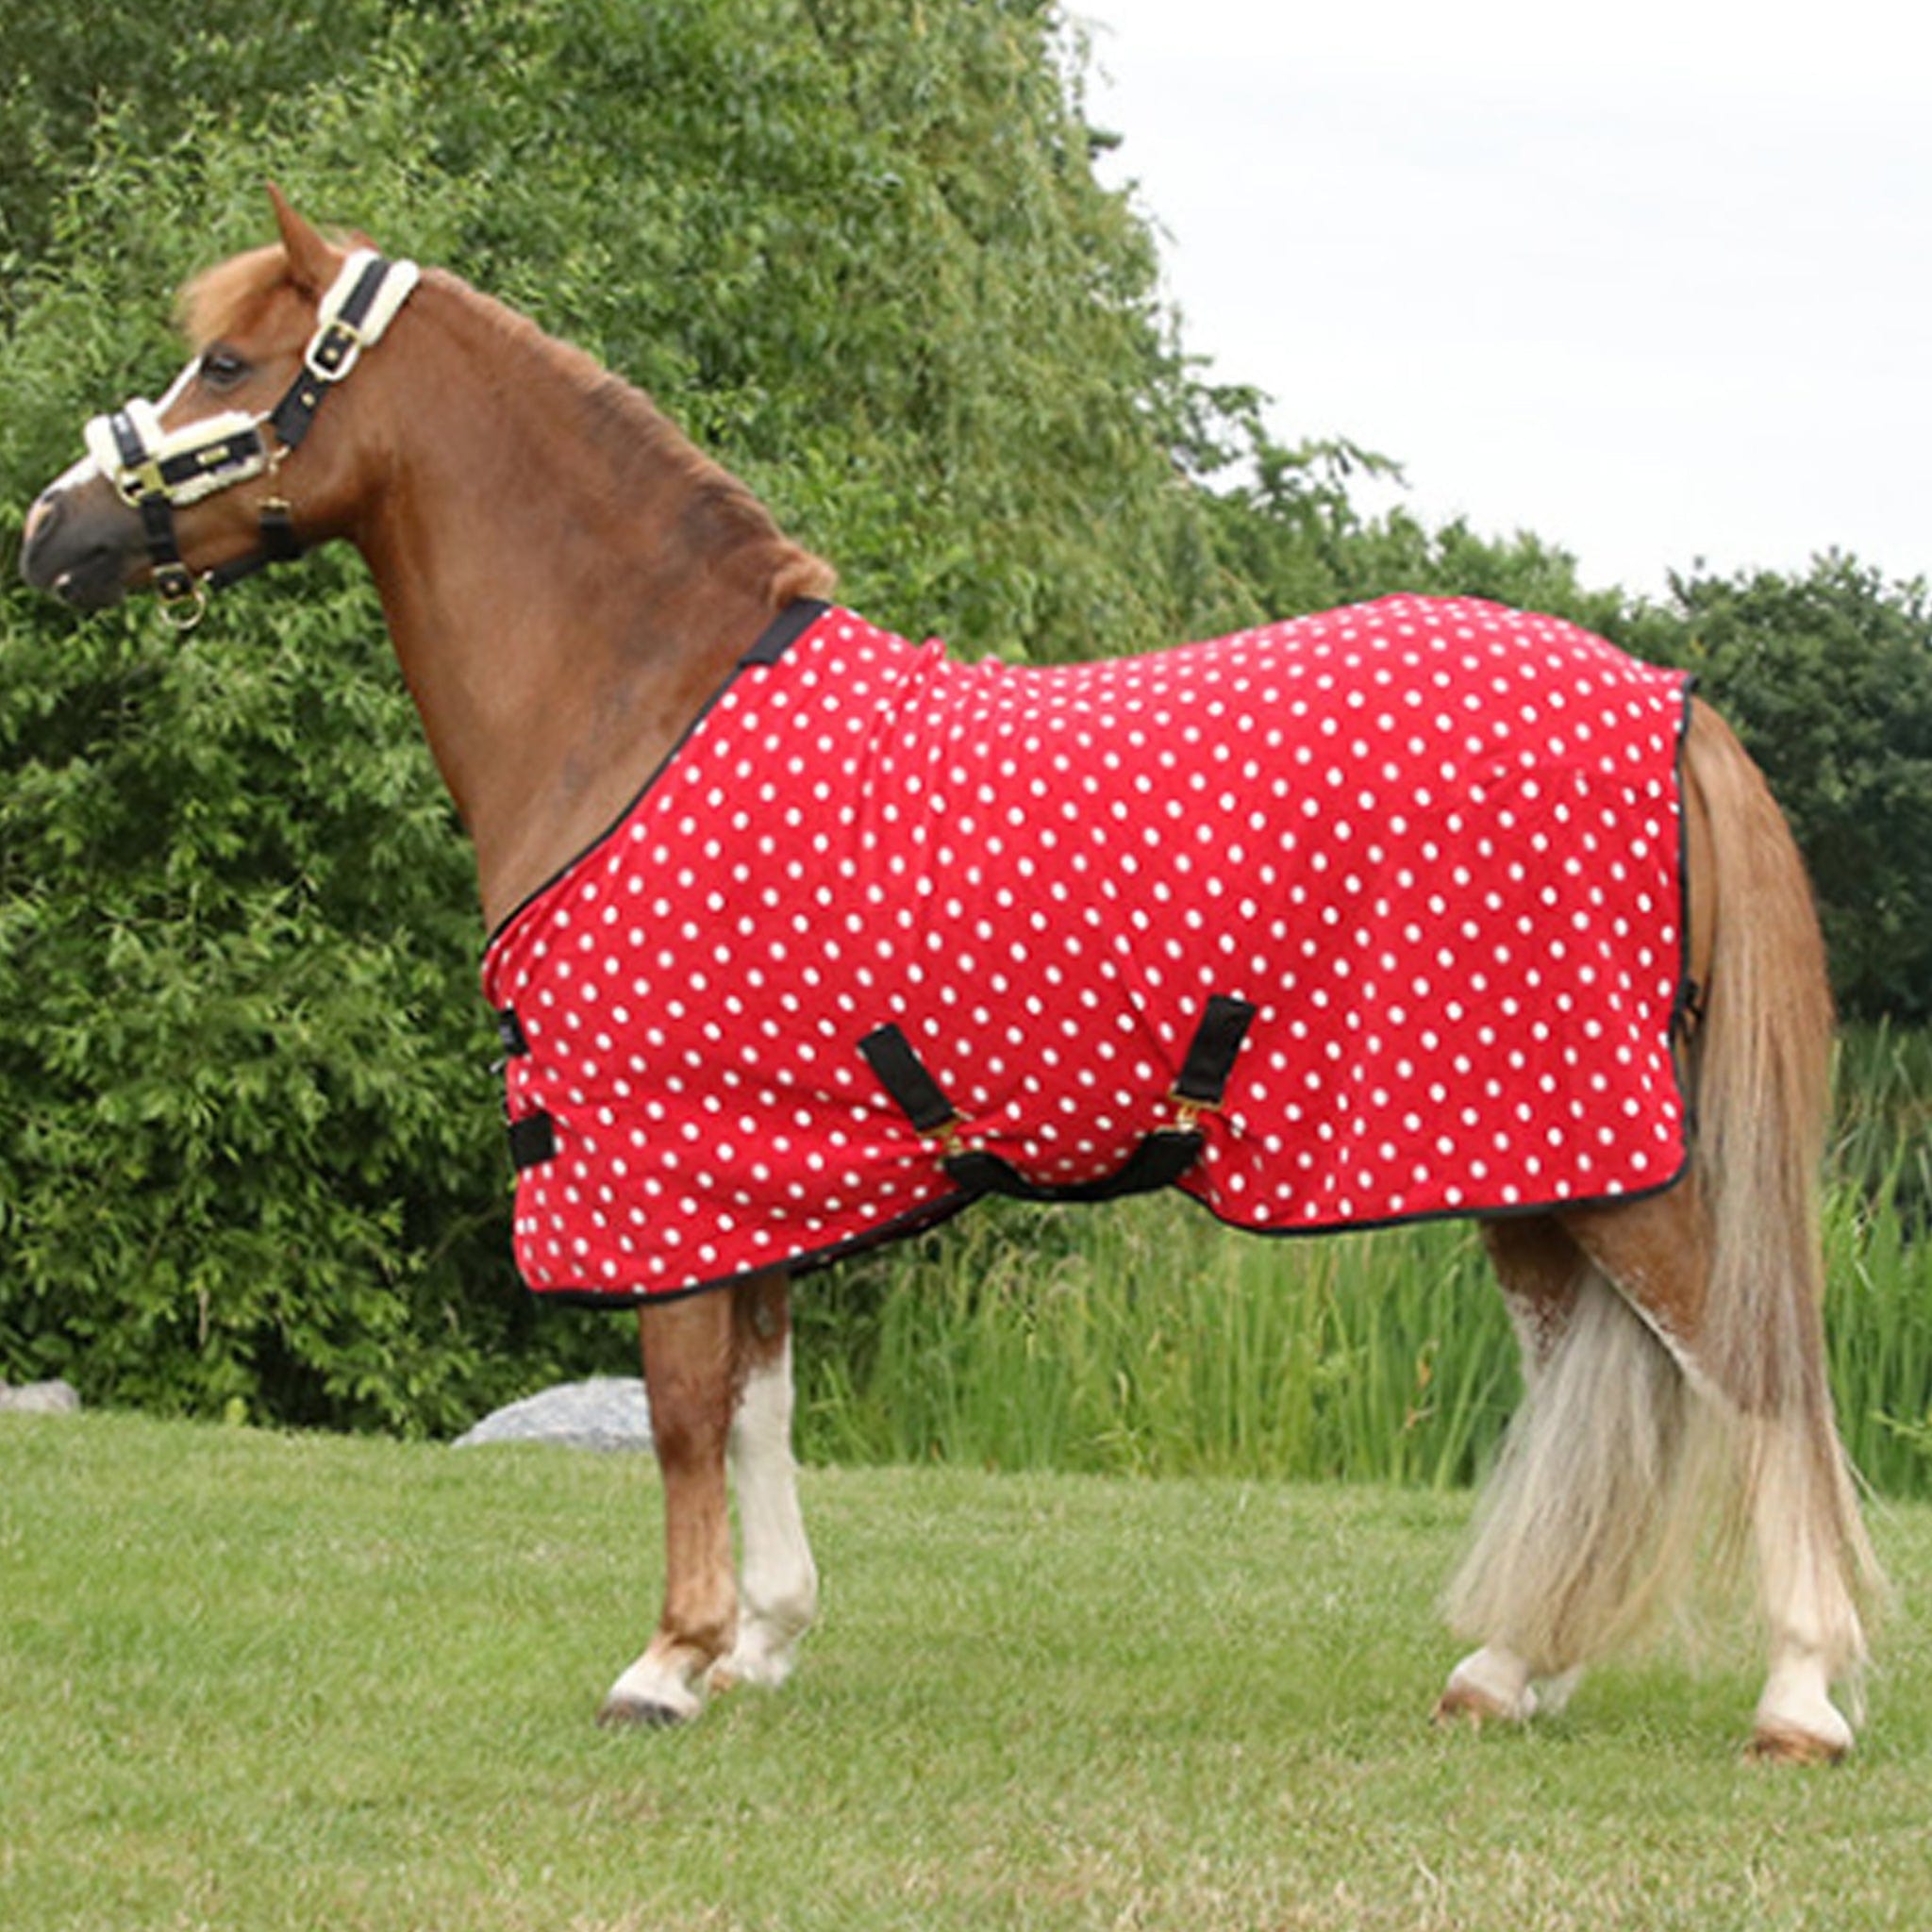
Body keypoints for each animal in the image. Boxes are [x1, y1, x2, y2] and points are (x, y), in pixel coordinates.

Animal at [15, 188, 1877, 1761]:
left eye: (229, 364)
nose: (51, 531)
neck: (637, 705)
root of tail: (1667, 695)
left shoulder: (656, 1165)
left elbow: (681, 1410)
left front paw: (665, 1662)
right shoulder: (740, 1172)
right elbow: (757, 1402)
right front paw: (760, 1641)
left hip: (1598, 1156)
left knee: (1756, 1371)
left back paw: (1799, 1694)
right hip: (1522, 1163)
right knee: (1604, 1393)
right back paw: (1511, 1670)